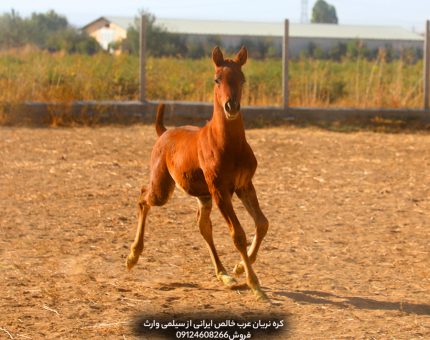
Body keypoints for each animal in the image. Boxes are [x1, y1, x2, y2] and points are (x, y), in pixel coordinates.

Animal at [127, 45, 268, 300]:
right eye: (217, 79)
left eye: (242, 79)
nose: (232, 106)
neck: (229, 145)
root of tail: (164, 132)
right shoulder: (220, 190)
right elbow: (238, 235)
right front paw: (254, 283)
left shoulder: (244, 185)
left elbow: (262, 224)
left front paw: (239, 268)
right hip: (163, 188)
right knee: (144, 197)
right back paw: (132, 256)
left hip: (202, 195)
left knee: (203, 226)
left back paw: (224, 274)